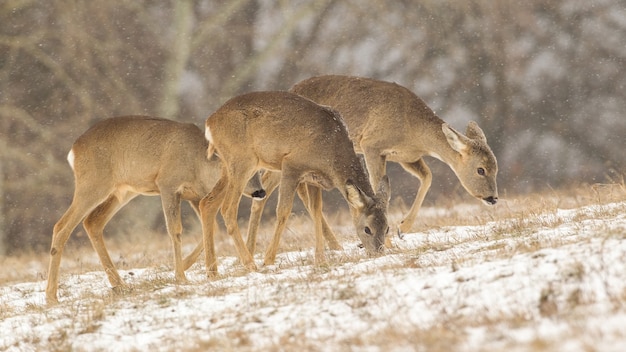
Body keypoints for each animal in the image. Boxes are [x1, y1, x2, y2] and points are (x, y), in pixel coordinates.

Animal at [45, 116, 266, 306]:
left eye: (259, 170)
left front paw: (184, 266)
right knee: (61, 226)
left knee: (92, 222)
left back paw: (119, 285)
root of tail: (73, 151)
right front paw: (181, 276)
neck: (197, 164)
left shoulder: (194, 196)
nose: (260, 191)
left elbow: (212, 228)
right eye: (246, 173)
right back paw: (51, 296)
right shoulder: (167, 184)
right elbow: (175, 229)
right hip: (93, 184)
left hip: (122, 191)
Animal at [197, 91, 388, 276]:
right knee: (227, 209)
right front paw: (268, 259)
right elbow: (283, 211)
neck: (331, 151)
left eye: (387, 228)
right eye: (367, 229)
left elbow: (316, 211)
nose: (377, 253)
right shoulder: (291, 164)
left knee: (207, 203)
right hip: (242, 161)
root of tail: (209, 123)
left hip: (230, 167)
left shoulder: (313, 179)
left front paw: (320, 259)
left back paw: (212, 272)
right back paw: (250, 264)